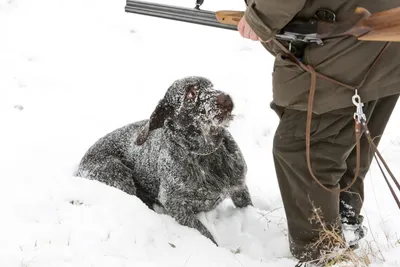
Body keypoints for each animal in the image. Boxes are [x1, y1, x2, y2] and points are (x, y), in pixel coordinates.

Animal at [76, 76, 252, 246]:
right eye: (190, 94)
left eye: (211, 85)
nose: (225, 98)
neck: (206, 154)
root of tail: (78, 169)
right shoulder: (175, 205)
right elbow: (205, 233)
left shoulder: (239, 187)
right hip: (118, 173)